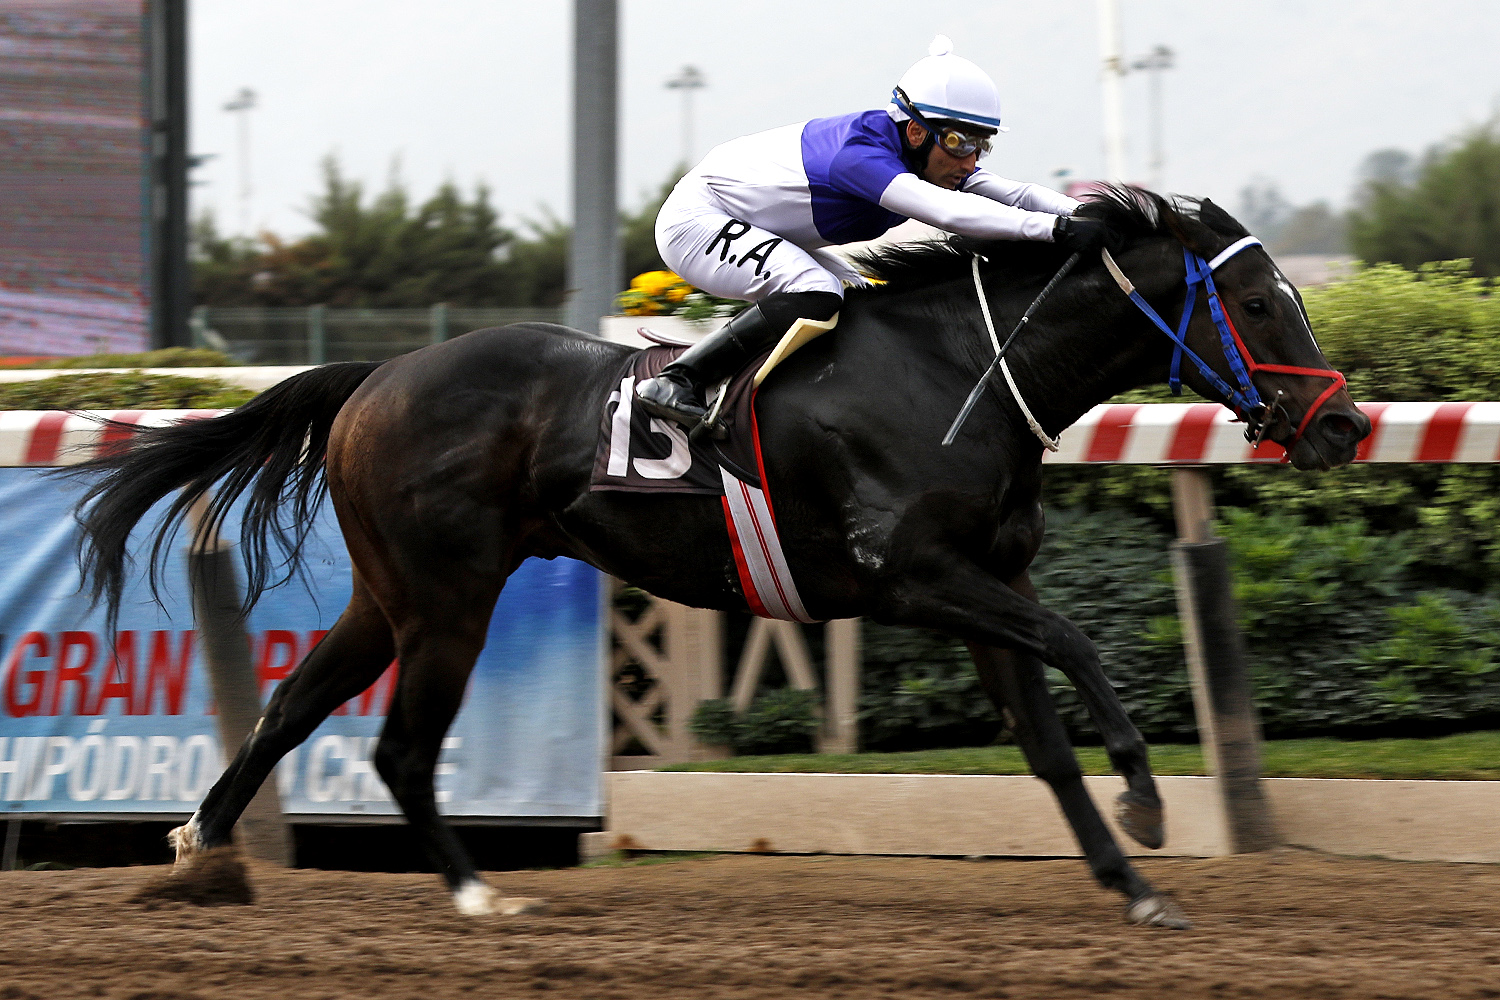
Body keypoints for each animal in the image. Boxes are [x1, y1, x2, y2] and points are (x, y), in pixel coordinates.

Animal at [72, 187, 1369, 929]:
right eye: (1260, 301)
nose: (1346, 424)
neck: (960, 370)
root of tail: (377, 376)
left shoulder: (984, 586)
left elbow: (1044, 742)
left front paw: (1136, 885)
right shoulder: (916, 576)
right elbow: (1079, 644)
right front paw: (1148, 803)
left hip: (396, 595)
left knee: (294, 702)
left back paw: (201, 849)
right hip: (449, 599)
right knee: (398, 745)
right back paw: (479, 890)